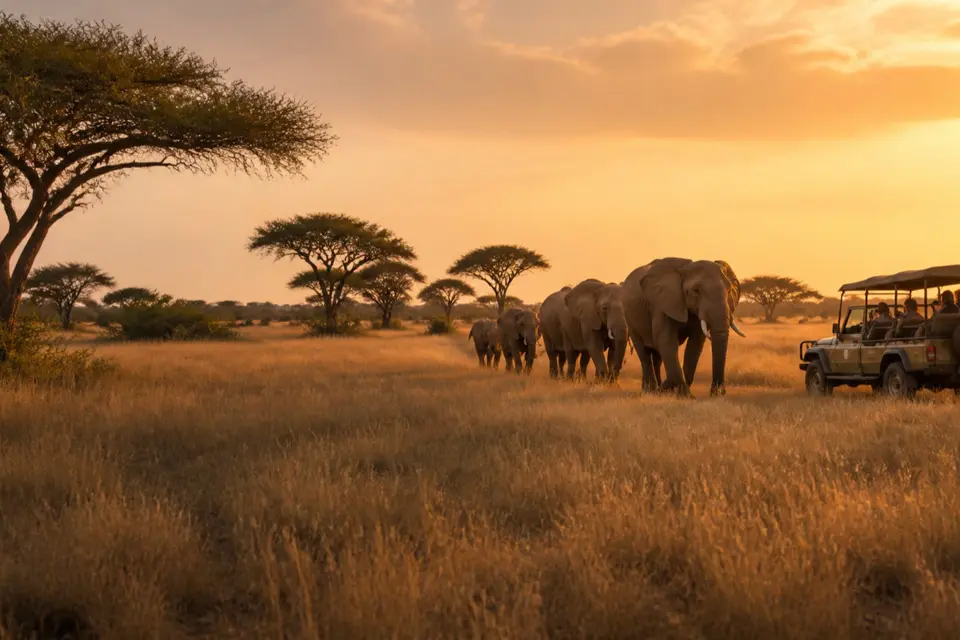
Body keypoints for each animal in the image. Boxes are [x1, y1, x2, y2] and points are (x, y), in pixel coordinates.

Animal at [621, 257, 746, 397]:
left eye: (729, 290)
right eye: (696, 291)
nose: (717, 391)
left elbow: (695, 344)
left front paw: (672, 390)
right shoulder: (662, 304)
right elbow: (666, 341)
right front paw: (684, 395)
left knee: (657, 356)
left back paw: (658, 390)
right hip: (629, 317)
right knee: (644, 353)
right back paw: (650, 391)